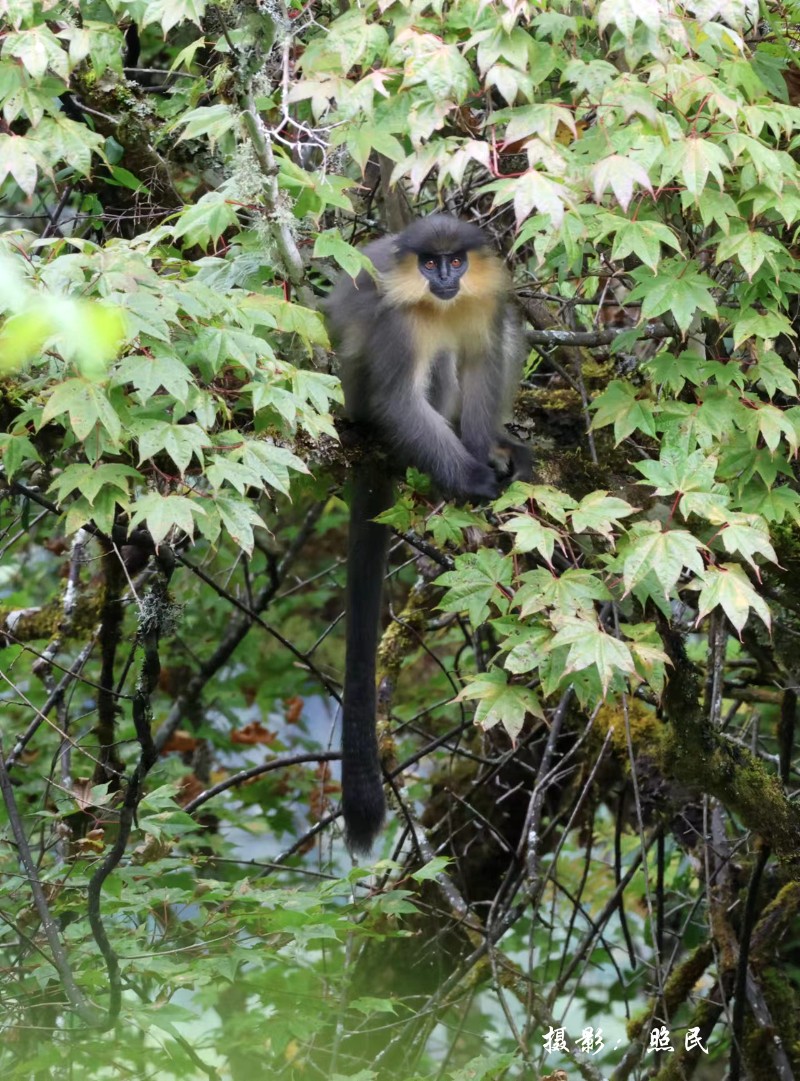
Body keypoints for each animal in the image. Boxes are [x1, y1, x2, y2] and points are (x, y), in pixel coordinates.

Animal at [324, 212, 531, 851]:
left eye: (456, 260)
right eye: (431, 262)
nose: (444, 278)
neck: (442, 306)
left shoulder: (484, 304)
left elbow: (489, 353)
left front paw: (490, 454)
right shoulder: (398, 328)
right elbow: (401, 400)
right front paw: (472, 478)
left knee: (501, 339)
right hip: (364, 408)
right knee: (428, 375)